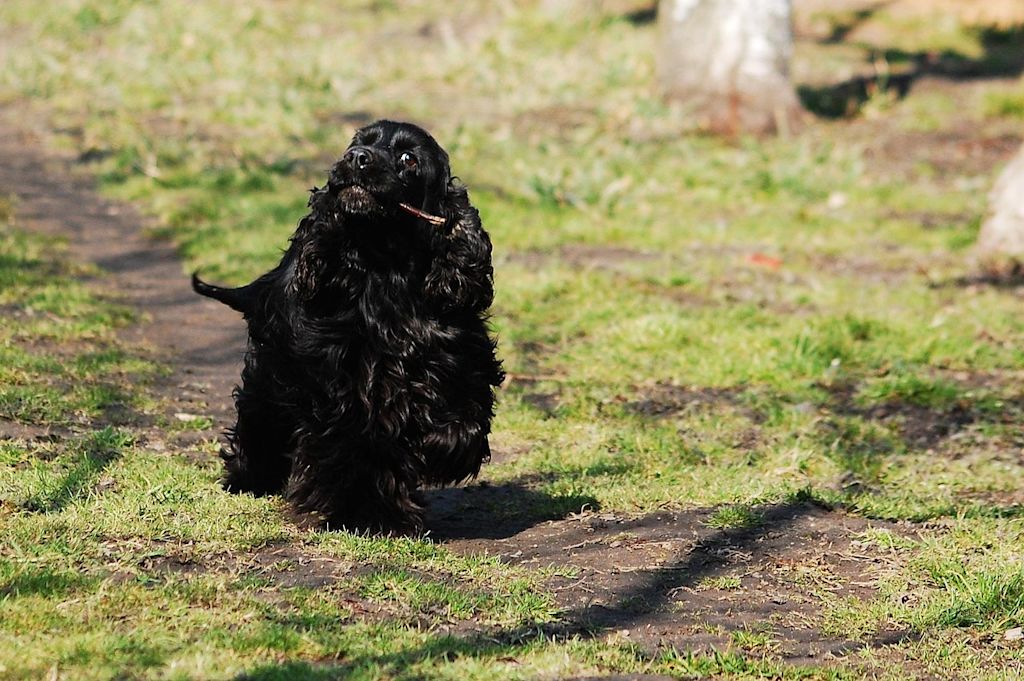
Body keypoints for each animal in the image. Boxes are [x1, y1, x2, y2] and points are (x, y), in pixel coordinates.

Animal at [192, 119, 503, 532]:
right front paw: (361, 513)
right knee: (259, 423)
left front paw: (440, 451)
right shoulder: (342, 384)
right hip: (271, 376)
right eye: (356, 144)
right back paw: (247, 480)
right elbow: (354, 447)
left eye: (409, 158)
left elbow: (464, 420)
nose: (358, 158)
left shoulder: (457, 357)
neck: (386, 270)